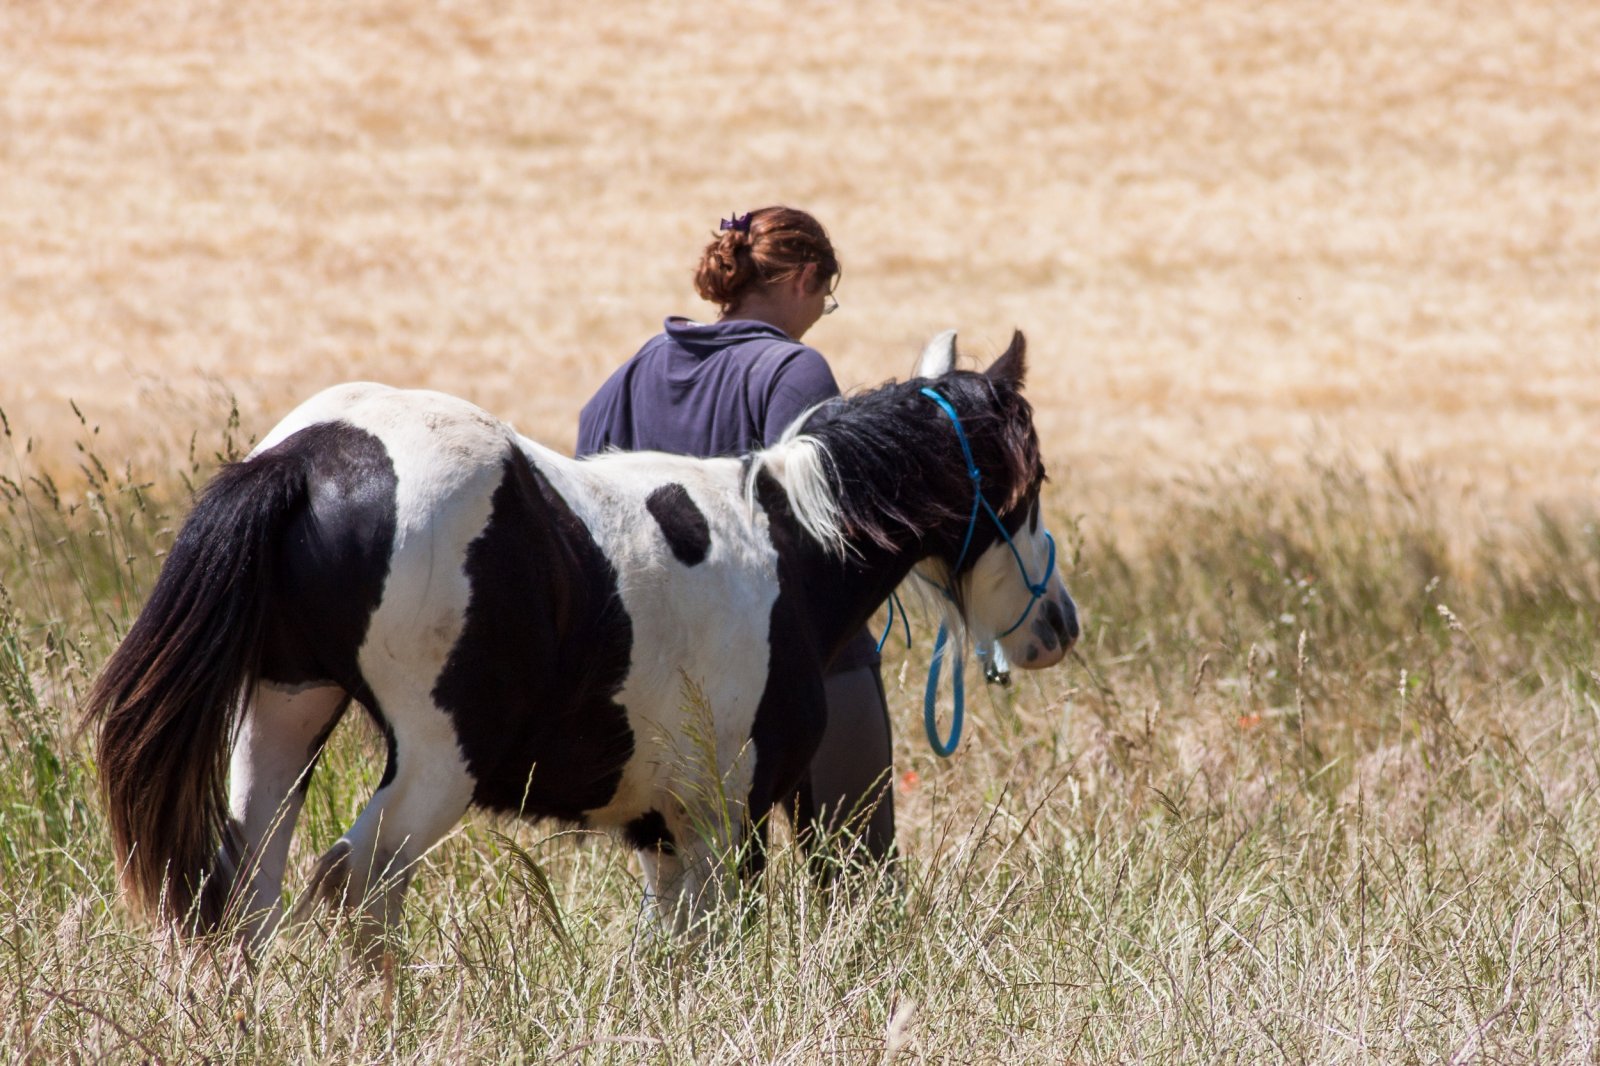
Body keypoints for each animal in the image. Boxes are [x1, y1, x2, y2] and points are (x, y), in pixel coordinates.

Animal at [87, 328, 1081, 947]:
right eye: (1032, 479)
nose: (1059, 625)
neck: (788, 545)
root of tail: (307, 457)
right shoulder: (725, 824)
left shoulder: (668, 835)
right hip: (437, 765)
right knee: (354, 885)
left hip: (285, 716)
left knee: (246, 882)